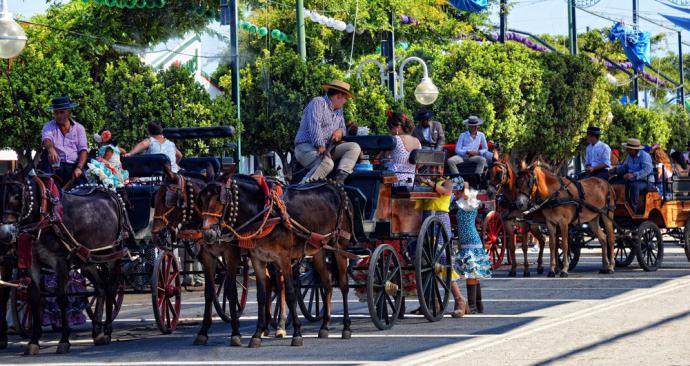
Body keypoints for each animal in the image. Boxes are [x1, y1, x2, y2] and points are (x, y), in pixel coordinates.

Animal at [0, 167, 131, 356]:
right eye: (0, 195)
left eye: (18, 195)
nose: (5, 234)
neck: (44, 218)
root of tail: (110, 192)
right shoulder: (32, 263)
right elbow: (34, 298)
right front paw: (33, 342)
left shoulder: (60, 262)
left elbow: (62, 298)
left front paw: (64, 341)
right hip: (86, 259)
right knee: (100, 288)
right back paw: (97, 331)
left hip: (112, 254)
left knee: (111, 289)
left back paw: (107, 331)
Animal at [150, 167, 288, 344]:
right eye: (154, 199)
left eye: (168, 198)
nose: (156, 236)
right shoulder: (207, 255)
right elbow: (209, 292)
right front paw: (203, 331)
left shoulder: (231, 255)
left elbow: (231, 291)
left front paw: (235, 332)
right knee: (269, 283)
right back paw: (264, 326)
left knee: (280, 284)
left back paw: (280, 325)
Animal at [196, 176, 352, 348]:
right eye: (201, 200)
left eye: (221, 199)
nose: (208, 234)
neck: (264, 214)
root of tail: (335, 186)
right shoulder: (257, 259)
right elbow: (261, 295)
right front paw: (257, 334)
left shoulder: (283, 258)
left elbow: (290, 293)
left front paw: (297, 334)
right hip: (318, 250)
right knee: (327, 283)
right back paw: (324, 326)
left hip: (340, 245)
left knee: (343, 285)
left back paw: (346, 327)